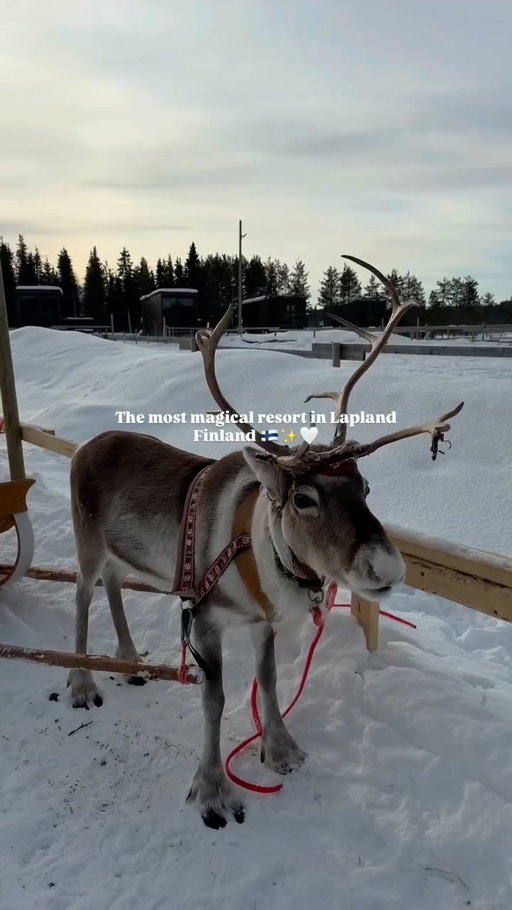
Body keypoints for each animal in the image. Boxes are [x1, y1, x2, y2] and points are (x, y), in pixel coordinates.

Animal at [67, 255, 463, 829]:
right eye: (303, 498)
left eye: (365, 487)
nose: (387, 569)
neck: (259, 548)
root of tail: (84, 447)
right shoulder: (204, 618)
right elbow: (213, 699)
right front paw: (212, 790)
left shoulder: (263, 621)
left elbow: (271, 680)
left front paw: (281, 750)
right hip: (88, 539)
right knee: (82, 593)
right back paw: (82, 683)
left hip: (124, 552)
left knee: (114, 583)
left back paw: (128, 658)